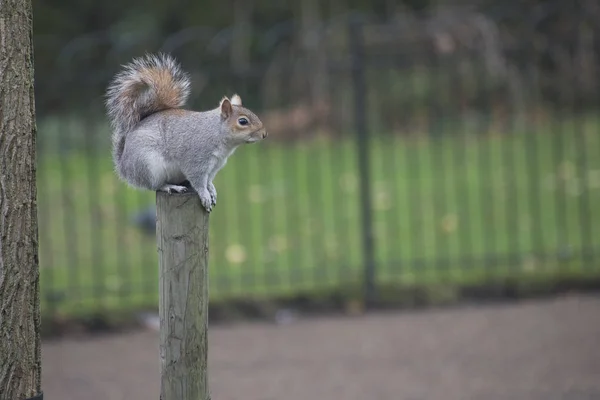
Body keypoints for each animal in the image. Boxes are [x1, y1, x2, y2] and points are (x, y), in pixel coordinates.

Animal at [105, 53, 268, 212]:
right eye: (243, 121)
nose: (264, 134)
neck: (216, 133)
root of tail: (123, 166)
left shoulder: (215, 166)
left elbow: (208, 180)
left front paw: (212, 190)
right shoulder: (195, 161)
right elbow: (199, 181)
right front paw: (205, 195)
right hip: (149, 166)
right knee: (154, 185)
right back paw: (171, 187)